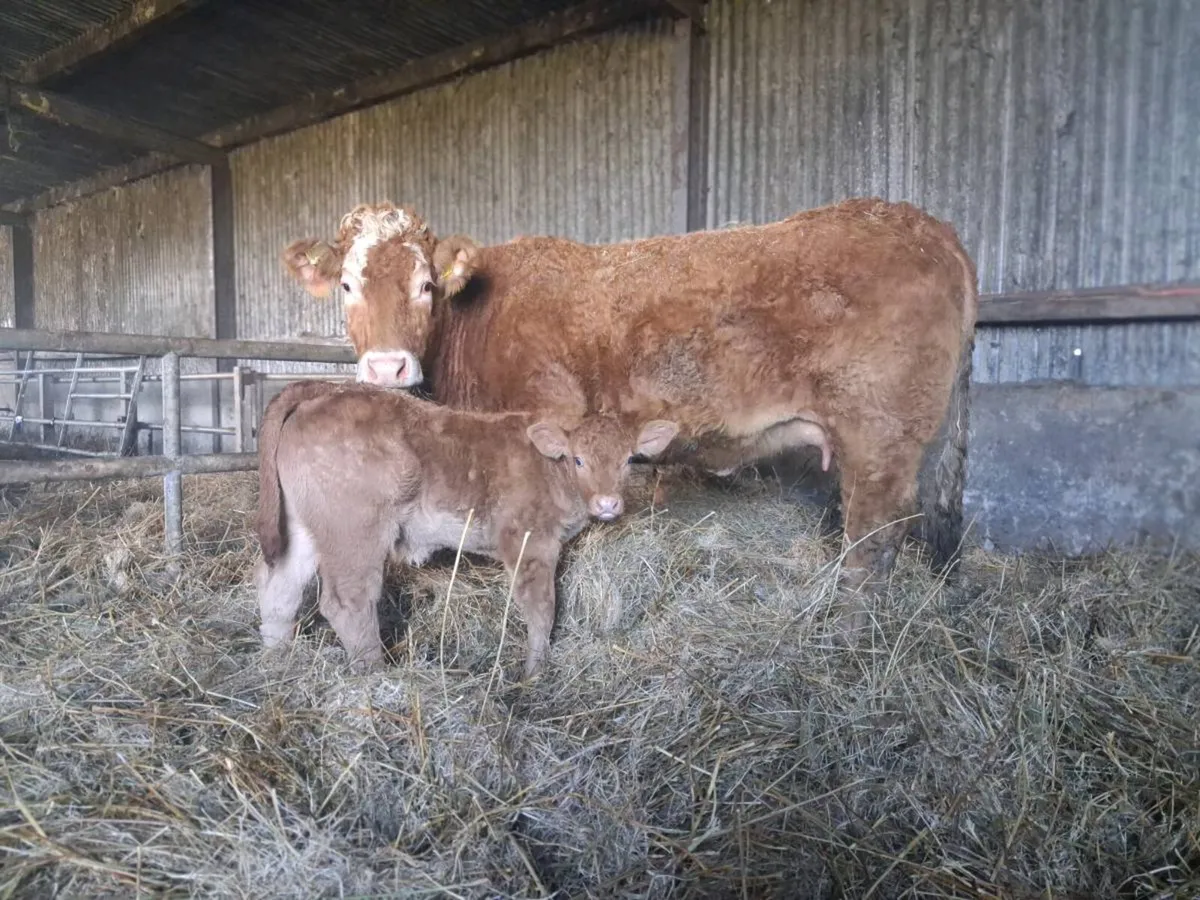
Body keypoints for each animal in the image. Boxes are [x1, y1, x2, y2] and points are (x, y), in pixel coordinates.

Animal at [254, 379, 679, 677]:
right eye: (578, 460)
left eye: (628, 459)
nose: (608, 504)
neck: (549, 470)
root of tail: (331, 389)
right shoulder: (529, 541)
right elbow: (541, 608)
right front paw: (535, 672)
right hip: (355, 530)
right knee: (347, 601)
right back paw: (374, 675)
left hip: (304, 528)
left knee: (280, 589)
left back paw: (277, 662)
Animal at [281, 197, 979, 632]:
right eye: (347, 285)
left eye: (425, 285)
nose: (386, 370)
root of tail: (926, 225)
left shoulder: (547, 413)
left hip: (881, 436)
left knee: (872, 544)